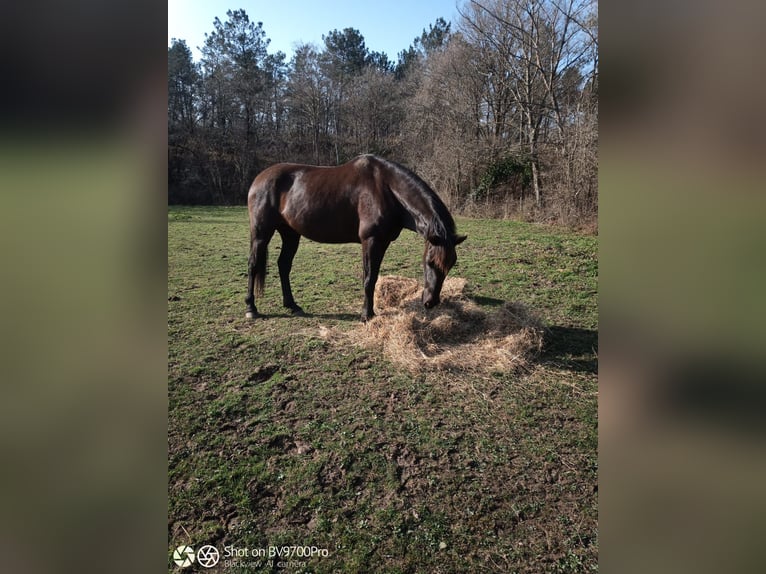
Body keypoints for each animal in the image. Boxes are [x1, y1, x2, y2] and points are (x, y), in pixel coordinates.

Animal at [245, 154, 466, 322]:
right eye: (430, 262)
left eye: (451, 265)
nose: (431, 302)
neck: (387, 188)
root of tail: (259, 179)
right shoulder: (371, 241)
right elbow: (369, 278)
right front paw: (367, 315)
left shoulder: (383, 242)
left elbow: (373, 277)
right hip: (261, 234)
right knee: (253, 265)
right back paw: (251, 308)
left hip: (290, 234)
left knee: (283, 265)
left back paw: (292, 305)